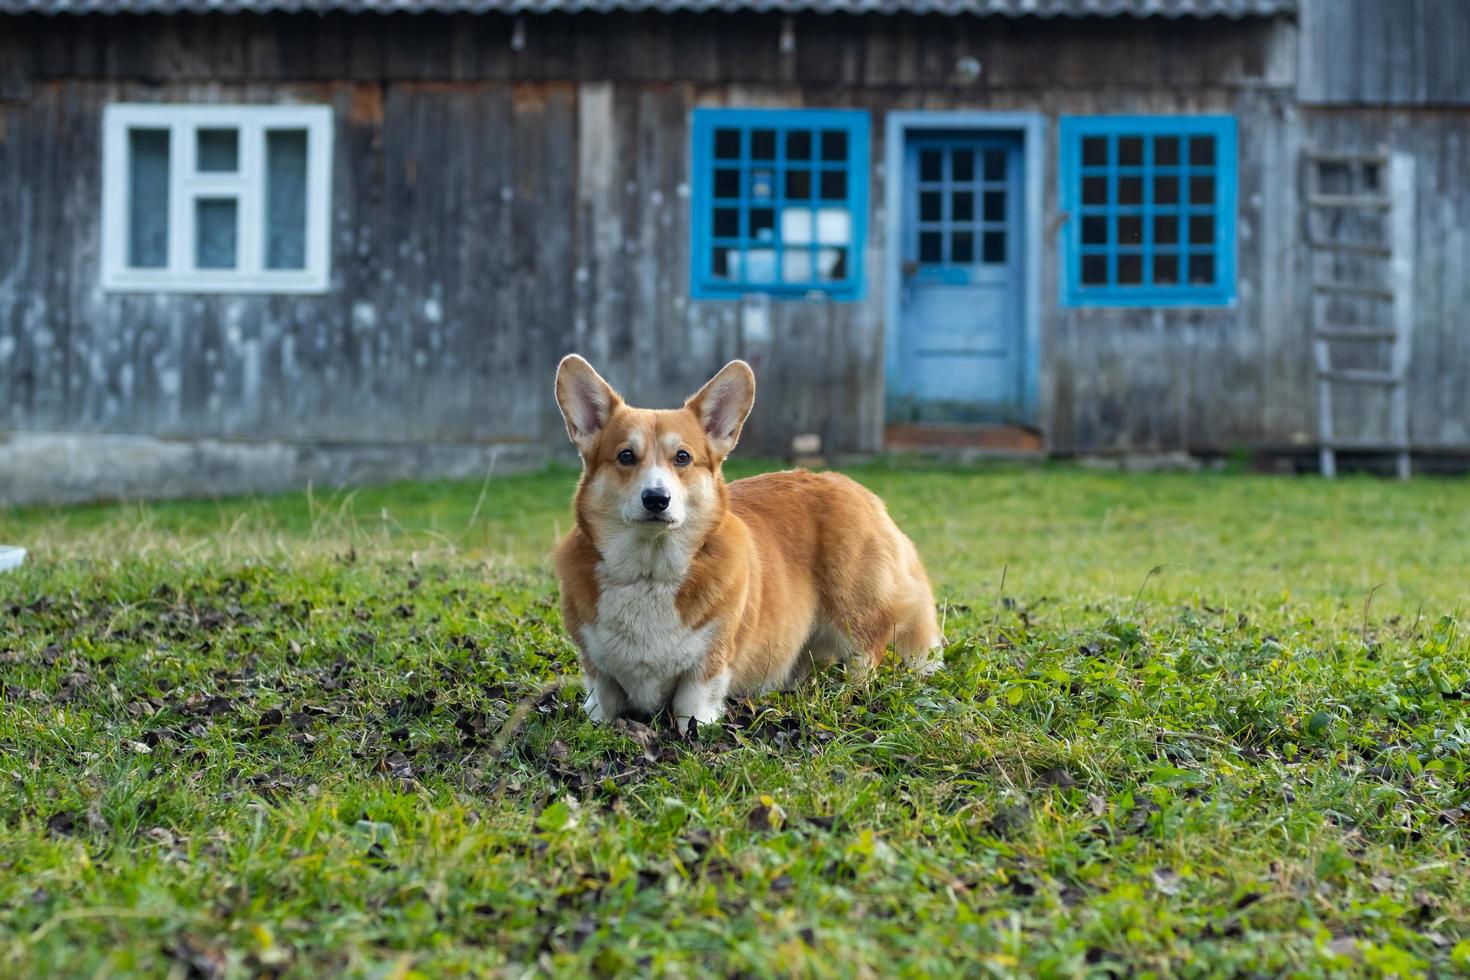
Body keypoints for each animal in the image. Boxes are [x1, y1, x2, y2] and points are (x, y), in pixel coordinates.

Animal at [552, 354, 940, 728]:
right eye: (626, 456)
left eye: (683, 457)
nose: (656, 499)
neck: (649, 571)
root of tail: (858, 489)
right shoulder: (597, 668)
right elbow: (601, 701)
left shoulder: (708, 663)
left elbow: (692, 708)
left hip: (855, 610)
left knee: (865, 656)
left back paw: (848, 693)